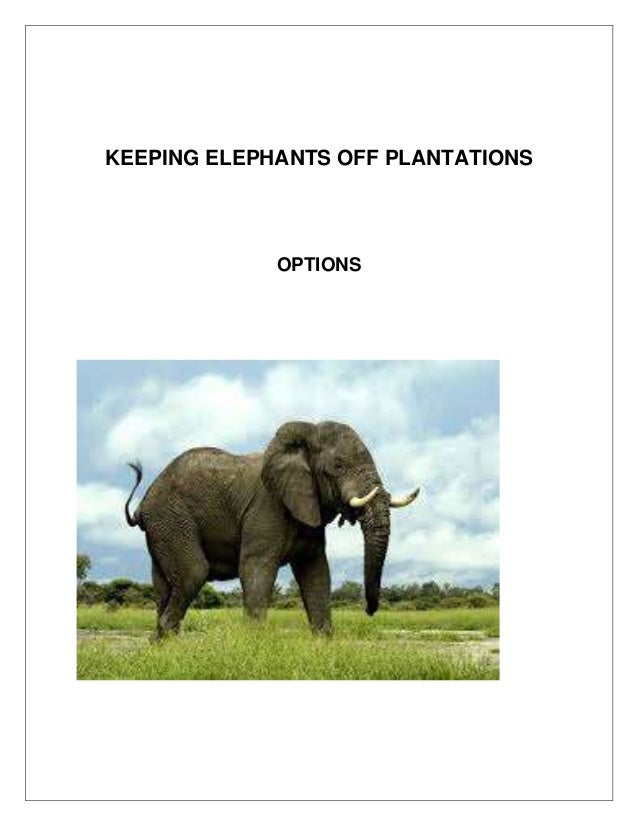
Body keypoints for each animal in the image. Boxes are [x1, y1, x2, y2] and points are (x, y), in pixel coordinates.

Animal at [124, 420, 420, 637]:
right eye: (338, 467)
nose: (369, 610)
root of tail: (144, 502)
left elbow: (316, 572)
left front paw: (324, 642)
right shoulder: (267, 507)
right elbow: (257, 567)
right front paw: (255, 645)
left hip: (164, 528)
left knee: (163, 585)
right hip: (171, 519)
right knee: (193, 573)